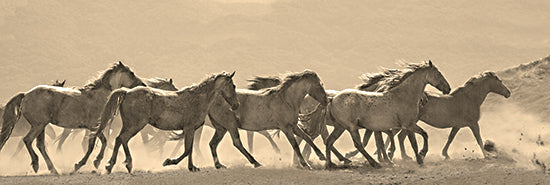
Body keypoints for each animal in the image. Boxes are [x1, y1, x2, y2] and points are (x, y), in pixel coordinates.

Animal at [0, 61, 147, 174]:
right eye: (131, 73)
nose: (143, 85)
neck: (100, 96)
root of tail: (26, 95)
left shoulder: (94, 127)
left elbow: (102, 142)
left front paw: (96, 162)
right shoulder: (94, 127)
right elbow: (92, 145)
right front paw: (81, 164)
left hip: (41, 126)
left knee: (39, 145)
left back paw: (53, 170)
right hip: (38, 125)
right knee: (27, 140)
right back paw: (36, 165)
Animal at [89, 71, 238, 173]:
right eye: (233, 86)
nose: (236, 105)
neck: (198, 99)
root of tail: (127, 92)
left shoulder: (191, 130)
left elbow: (189, 149)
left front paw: (192, 167)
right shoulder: (189, 128)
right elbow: (187, 150)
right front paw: (168, 161)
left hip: (129, 125)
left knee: (120, 140)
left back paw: (115, 164)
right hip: (135, 125)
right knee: (121, 139)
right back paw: (118, 165)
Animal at [350, 71, 512, 160]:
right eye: (500, 81)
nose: (508, 93)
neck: (470, 98)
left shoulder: (457, 125)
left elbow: (450, 138)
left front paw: (445, 154)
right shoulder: (473, 124)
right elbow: (478, 139)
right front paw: (486, 155)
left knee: (398, 136)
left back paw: (398, 155)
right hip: (409, 122)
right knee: (397, 136)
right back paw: (392, 155)